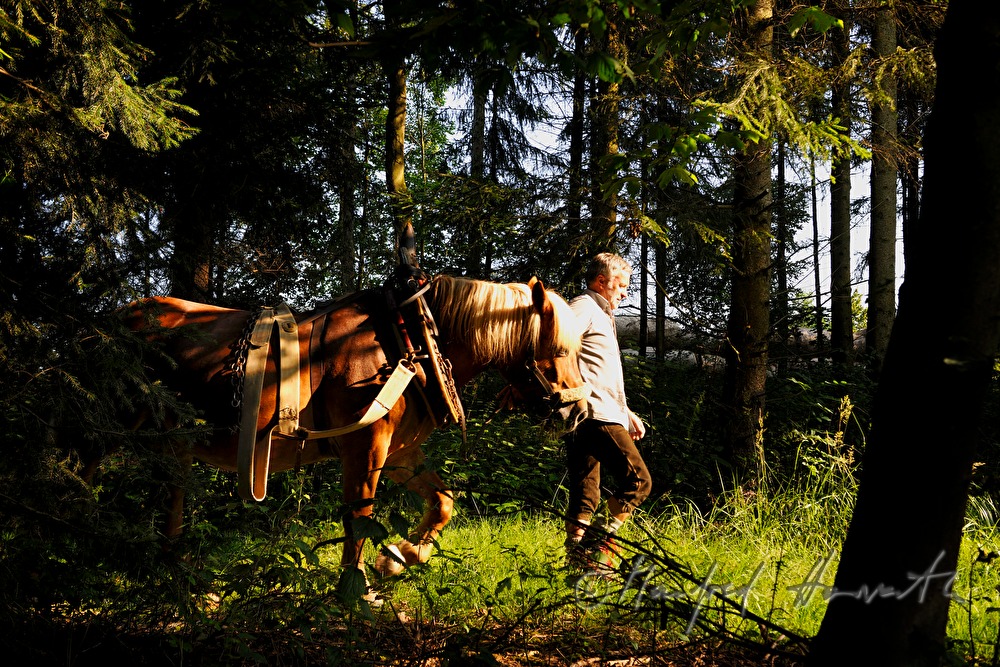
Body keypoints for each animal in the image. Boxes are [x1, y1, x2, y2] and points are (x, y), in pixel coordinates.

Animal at [119, 276, 584, 580]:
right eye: (560, 350)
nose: (578, 413)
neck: (408, 342)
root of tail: (121, 315)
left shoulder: (398, 454)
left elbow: (443, 501)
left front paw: (401, 555)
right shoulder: (365, 447)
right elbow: (359, 517)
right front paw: (354, 588)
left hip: (172, 444)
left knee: (171, 499)